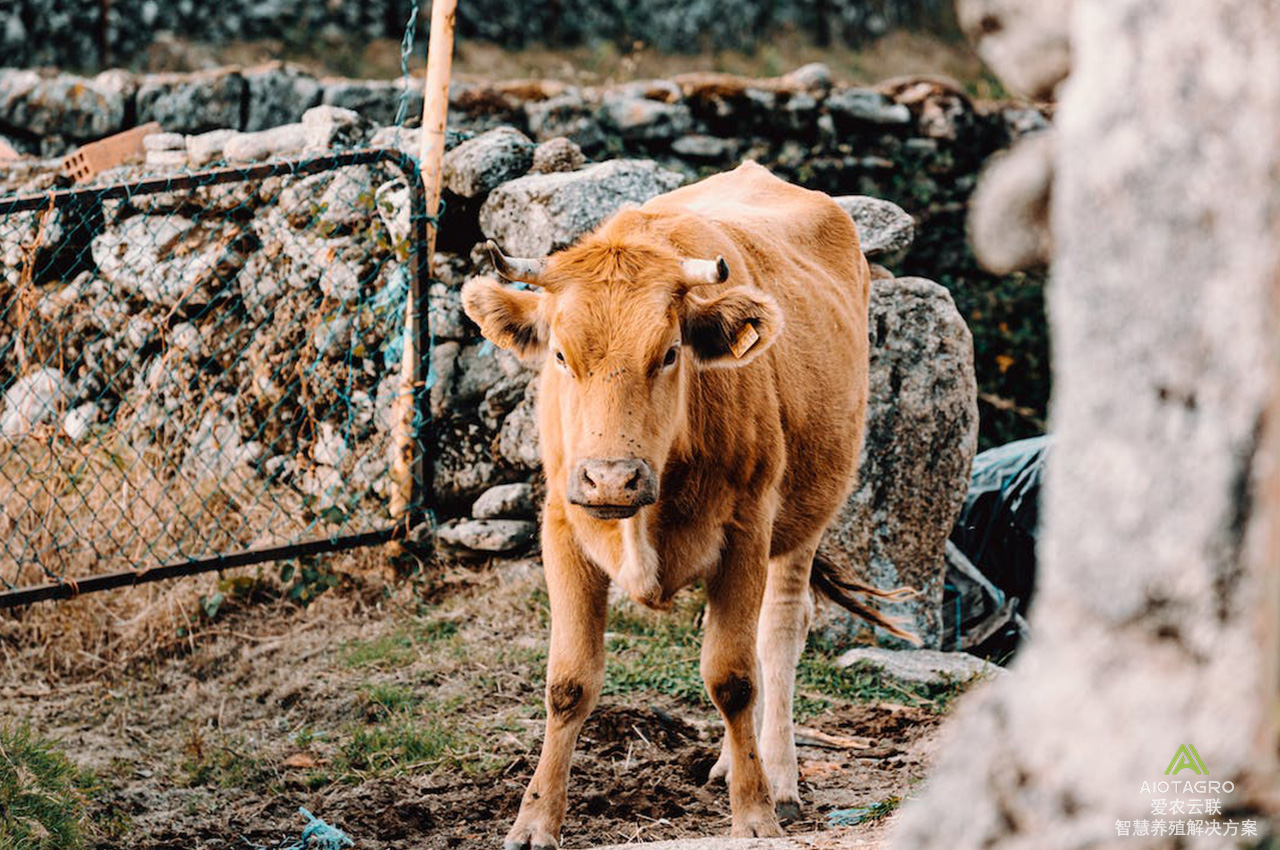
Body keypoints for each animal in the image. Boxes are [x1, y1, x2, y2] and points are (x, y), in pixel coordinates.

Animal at [460, 161, 911, 850]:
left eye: (669, 352)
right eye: (561, 354)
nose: (611, 480)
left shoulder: (747, 531)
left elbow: (733, 677)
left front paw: (754, 814)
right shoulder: (562, 526)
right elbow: (568, 684)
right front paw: (534, 821)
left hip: (805, 517)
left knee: (780, 632)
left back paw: (779, 777)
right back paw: (732, 761)